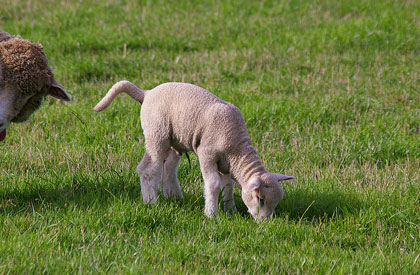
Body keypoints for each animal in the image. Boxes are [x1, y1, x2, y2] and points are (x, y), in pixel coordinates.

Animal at [93, 81, 294, 221]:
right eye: (260, 199)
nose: (265, 223)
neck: (237, 150)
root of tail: (147, 93)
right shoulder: (207, 154)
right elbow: (213, 183)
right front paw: (211, 214)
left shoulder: (226, 164)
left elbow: (228, 185)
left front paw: (231, 209)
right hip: (156, 134)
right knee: (147, 170)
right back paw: (151, 202)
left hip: (174, 141)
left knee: (168, 168)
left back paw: (175, 197)